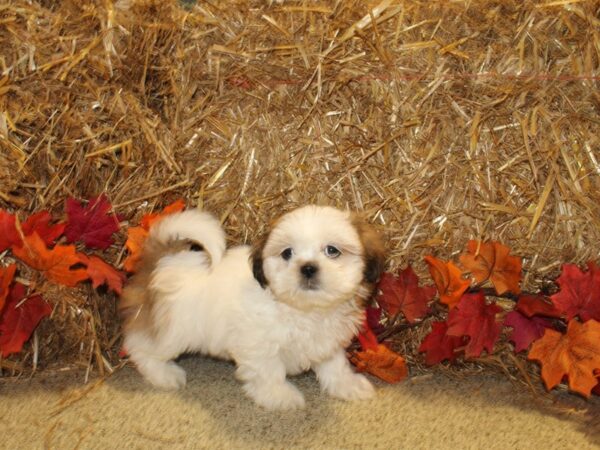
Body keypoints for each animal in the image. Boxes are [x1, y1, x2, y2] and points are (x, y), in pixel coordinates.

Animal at [119, 206, 386, 410]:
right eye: (287, 253)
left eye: (332, 250)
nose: (308, 268)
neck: (303, 309)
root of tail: (162, 260)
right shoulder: (258, 345)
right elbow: (269, 372)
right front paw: (280, 396)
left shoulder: (326, 340)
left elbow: (335, 365)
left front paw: (347, 385)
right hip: (171, 329)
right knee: (140, 347)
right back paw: (163, 374)